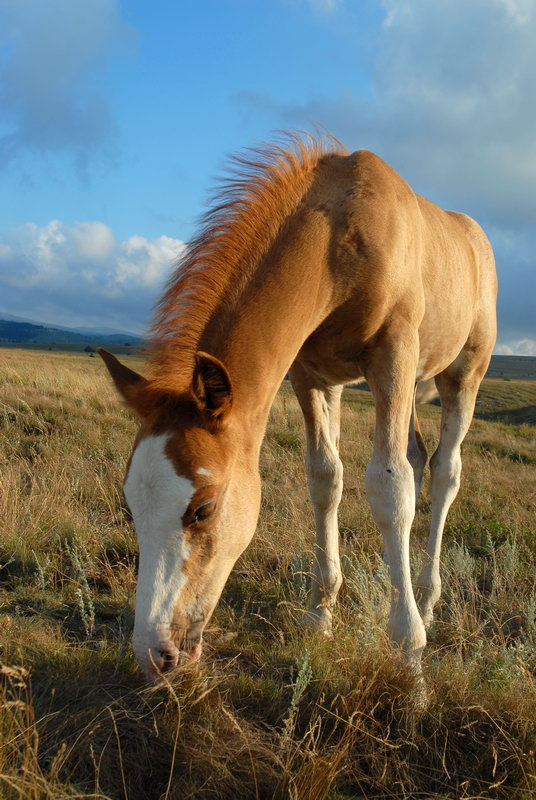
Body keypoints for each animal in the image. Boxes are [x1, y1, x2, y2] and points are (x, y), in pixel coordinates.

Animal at [99, 133, 497, 682]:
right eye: (130, 502)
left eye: (203, 509)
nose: (156, 655)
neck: (341, 238)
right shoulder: (311, 374)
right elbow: (325, 478)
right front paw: (319, 617)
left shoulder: (394, 350)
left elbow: (390, 486)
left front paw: (409, 653)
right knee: (417, 457)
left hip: (462, 374)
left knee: (443, 472)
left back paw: (428, 603)